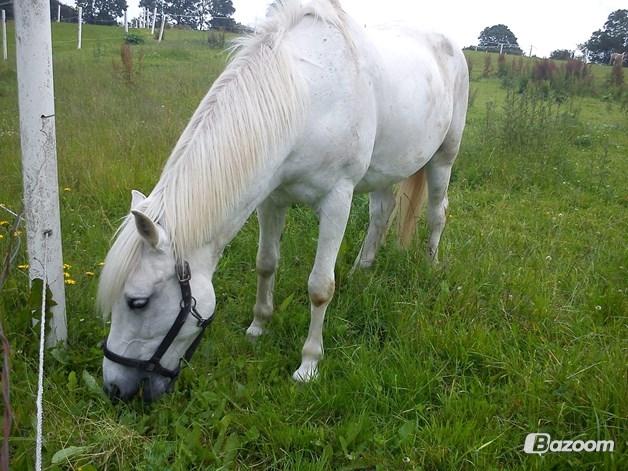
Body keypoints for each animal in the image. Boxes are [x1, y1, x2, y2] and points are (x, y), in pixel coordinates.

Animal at [98, 0, 468, 404]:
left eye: (137, 302)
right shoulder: (272, 198)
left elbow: (320, 287)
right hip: (387, 169)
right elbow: (266, 263)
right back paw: (362, 269)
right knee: (381, 214)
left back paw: (430, 265)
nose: (114, 387)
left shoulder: (337, 200)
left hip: (443, 159)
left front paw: (308, 365)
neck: (307, 97)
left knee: (437, 213)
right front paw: (258, 327)